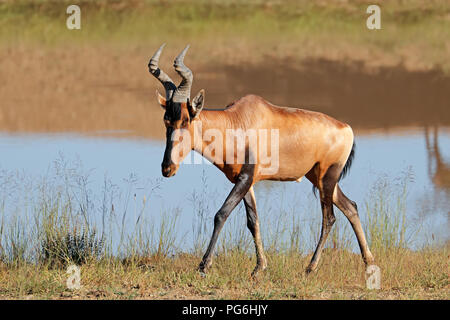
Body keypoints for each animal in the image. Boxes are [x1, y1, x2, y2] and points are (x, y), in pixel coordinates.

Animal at [149, 43, 376, 276]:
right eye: (166, 120)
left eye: (186, 120)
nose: (167, 168)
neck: (236, 121)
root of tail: (346, 128)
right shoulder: (245, 181)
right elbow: (253, 221)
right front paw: (259, 268)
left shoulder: (246, 178)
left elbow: (221, 214)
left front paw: (204, 265)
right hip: (318, 178)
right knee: (351, 206)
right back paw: (368, 262)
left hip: (328, 177)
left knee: (329, 217)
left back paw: (310, 267)